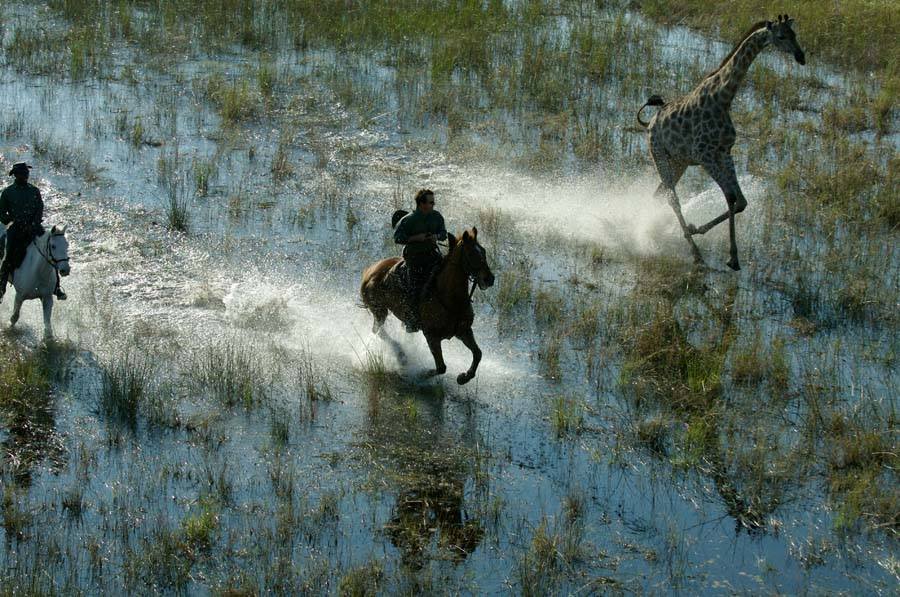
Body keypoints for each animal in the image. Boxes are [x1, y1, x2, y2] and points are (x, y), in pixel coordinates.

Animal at [360, 228, 500, 386]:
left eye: (483, 251)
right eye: (471, 254)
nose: (489, 279)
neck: (450, 299)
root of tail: (370, 270)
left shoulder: (464, 331)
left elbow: (478, 353)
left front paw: (464, 377)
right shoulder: (432, 336)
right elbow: (441, 367)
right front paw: (421, 374)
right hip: (379, 311)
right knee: (378, 331)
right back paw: (401, 356)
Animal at [636, 14, 804, 270]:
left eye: (795, 34)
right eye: (781, 36)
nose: (801, 57)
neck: (723, 98)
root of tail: (650, 123)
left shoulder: (724, 153)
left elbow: (740, 201)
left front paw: (699, 230)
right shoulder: (705, 155)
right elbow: (731, 197)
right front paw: (731, 257)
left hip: (678, 162)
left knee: (660, 194)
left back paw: (660, 231)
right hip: (659, 155)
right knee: (673, 199)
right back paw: (695, 252)